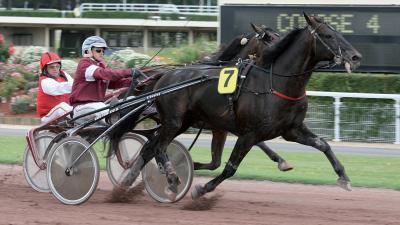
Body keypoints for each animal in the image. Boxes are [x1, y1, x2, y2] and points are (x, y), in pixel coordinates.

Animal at [120, 12, 360, 199]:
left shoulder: (291, 130)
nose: (355, 56)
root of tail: (164, 75)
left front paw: (344, 177)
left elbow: (323, 145)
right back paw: (170, 179)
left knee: (150, 148)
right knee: (158, 147)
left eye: (340, 33)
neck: (274, 83)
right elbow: (230, 167)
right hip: (172, 121)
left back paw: (129, 180)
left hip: (181, 122)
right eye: (329, 35)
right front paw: (201, 189)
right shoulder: (248, 133)